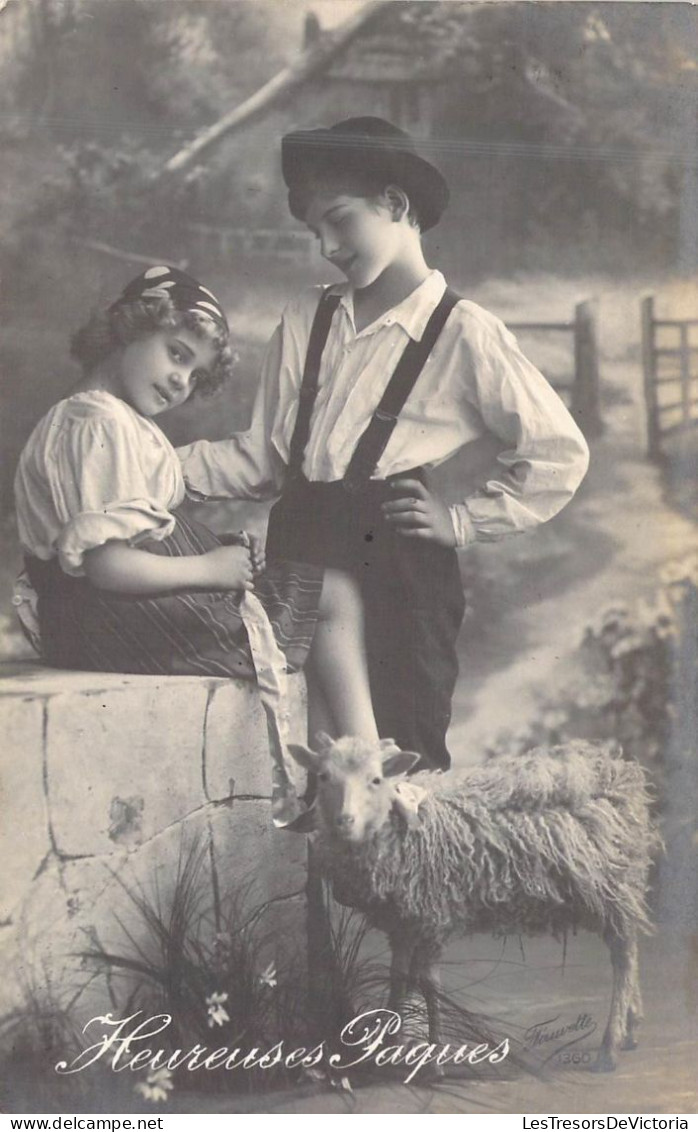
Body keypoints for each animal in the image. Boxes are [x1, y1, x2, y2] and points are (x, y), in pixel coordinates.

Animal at [288, 733, 660, 1068]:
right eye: (324, 777)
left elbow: (429, 985)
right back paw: (632, 1027)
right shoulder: (403, 921)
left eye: (376, 779)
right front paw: (391, 1047)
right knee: (630, 950)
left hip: (613, 885)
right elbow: (398, 979)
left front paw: (434, 1057)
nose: (344, 821)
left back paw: (611, 1045)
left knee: (623, 957)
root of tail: (620, 769)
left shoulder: (433, 916)